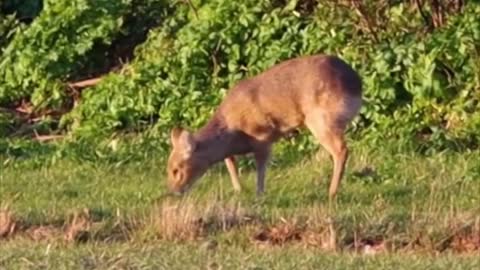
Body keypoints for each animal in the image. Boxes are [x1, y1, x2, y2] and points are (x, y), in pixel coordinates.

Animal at [167, 54, 362, 198]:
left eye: (176, 169)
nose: (174, 191)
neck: (232, 133)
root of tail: (357, 86)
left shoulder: (262, 137)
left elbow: (260, 167)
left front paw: (259, 194)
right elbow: (231, 163)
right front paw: (239, 190)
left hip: (320, 119)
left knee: (341, 150)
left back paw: (331, 193)